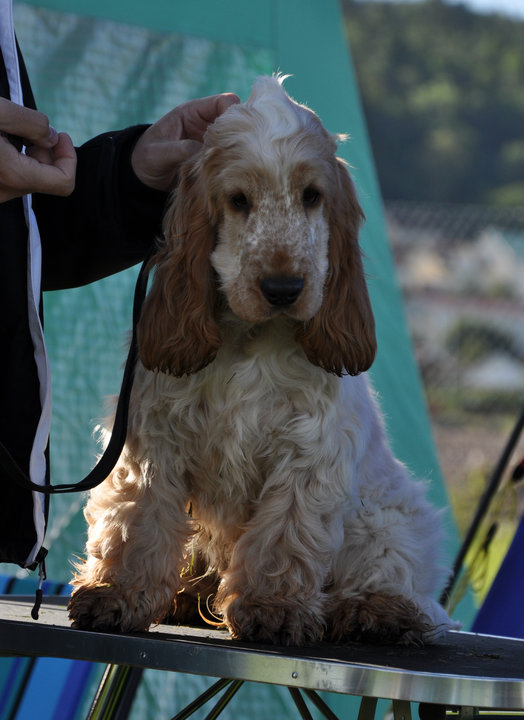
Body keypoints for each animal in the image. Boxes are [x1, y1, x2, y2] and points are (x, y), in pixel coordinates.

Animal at [68, 76, 458, 644]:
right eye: (238, 200)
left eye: (312, 196)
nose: (283, 289)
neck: (249, 336)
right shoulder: (155, 439)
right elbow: (138, 521)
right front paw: (113, 595)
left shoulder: (306, 453)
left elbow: (283, 537)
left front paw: (274, 611)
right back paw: (187, 598)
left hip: (390, 515)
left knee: (403, 581)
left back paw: (374, 612)